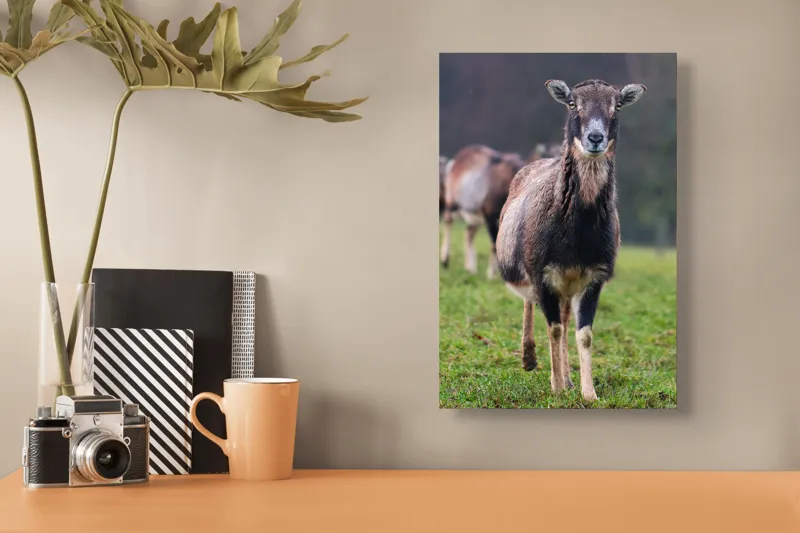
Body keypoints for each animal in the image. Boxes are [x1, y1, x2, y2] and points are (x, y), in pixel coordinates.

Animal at [440, 145, 524, 278]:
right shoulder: (490, 217)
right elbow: (494, 245)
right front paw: (491, 275)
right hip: (452, 204)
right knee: (448, 222)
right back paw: (445, 261)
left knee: (469, 233)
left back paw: (471, 269)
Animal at [496, 79, 646, 401]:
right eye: (573, 104)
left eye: (617, 106)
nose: (595, 137)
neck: (577, 235)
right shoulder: (542, 273)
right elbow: (552, 328)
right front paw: (555, 388)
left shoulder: (593, 277)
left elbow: (583, 333)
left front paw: (588, 393)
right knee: (534, 307)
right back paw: (529, 360)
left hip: (566, 286)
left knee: (566, 322)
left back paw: (567, 379)